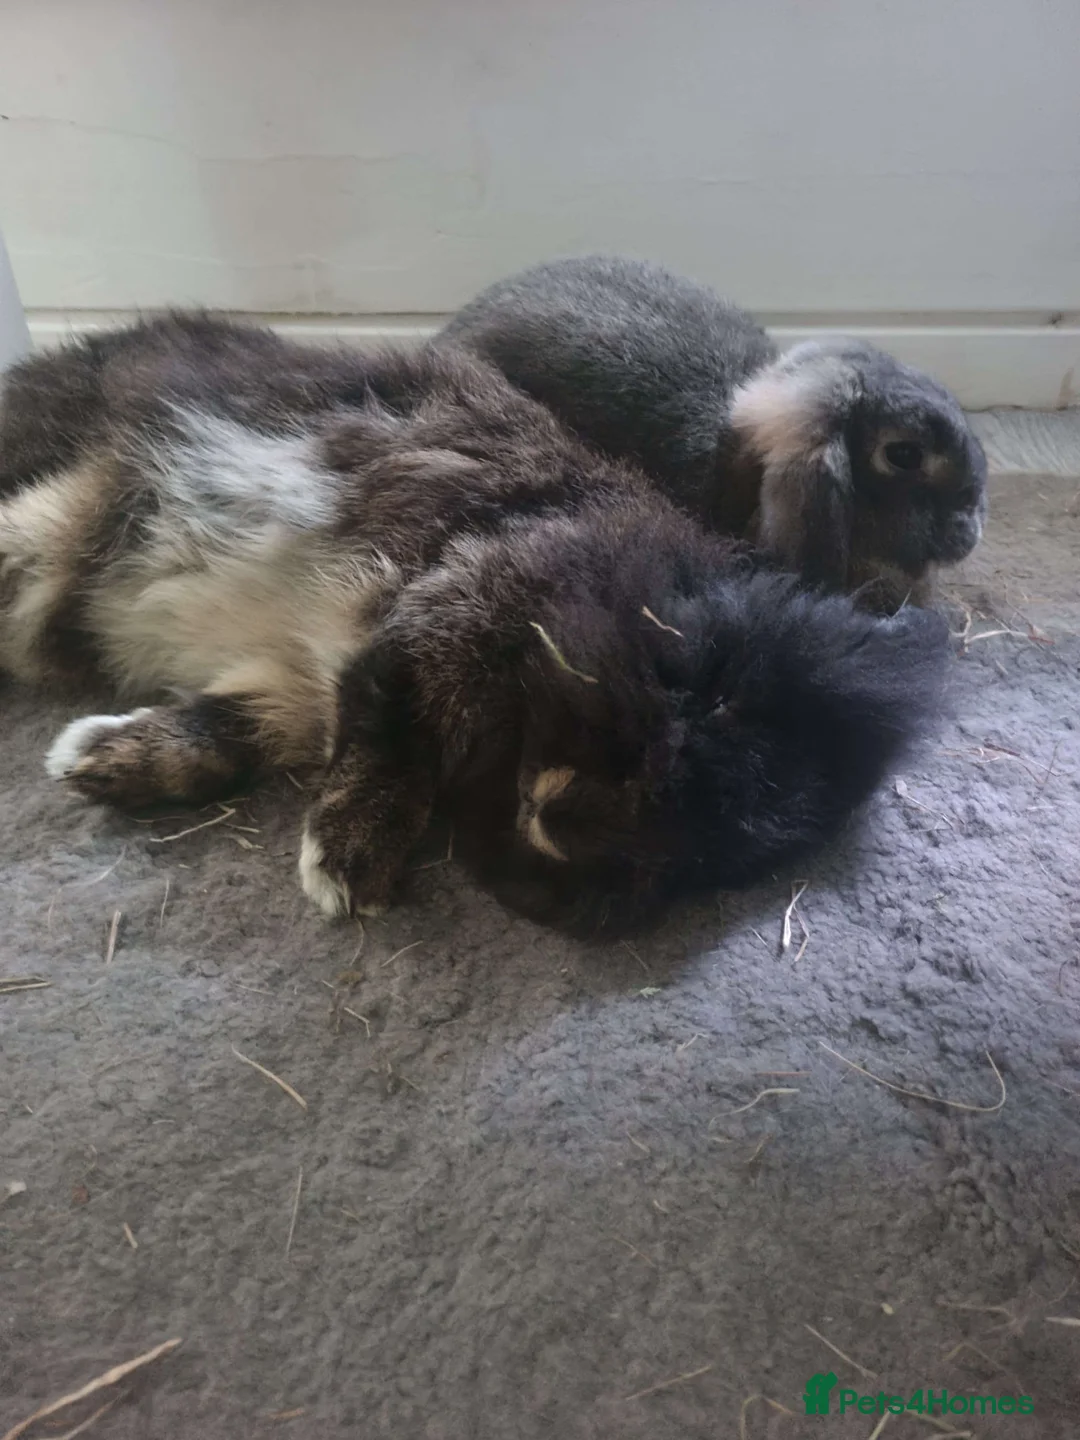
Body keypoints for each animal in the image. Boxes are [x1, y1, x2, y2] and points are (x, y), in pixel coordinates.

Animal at [0, 314, 949, 936]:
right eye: (708, 696)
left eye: (718, 857)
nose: (561, 821)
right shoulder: (437, 608)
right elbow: (394, 738)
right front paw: (347, 869)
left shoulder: (289, 686)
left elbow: (225, 734)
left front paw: (95, 761)